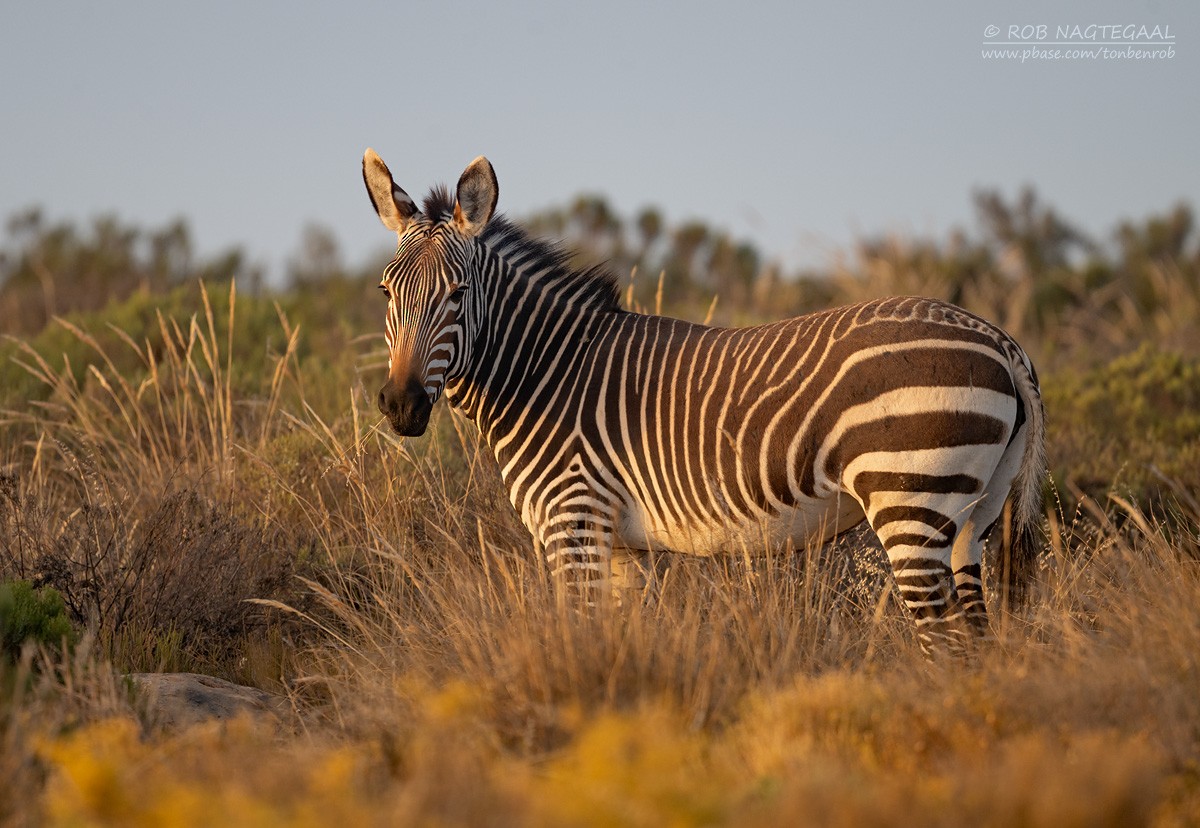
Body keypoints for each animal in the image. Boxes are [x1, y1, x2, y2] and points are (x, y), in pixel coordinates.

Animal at [362, 149, 1046, 652]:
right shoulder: (623, 547)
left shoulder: (573, 525)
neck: (547, 371)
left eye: (456, 293)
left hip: (910, 501)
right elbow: (617, 648)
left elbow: (580, 638)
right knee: (976, 642)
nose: (401, 406)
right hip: (974, 518)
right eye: (385, 291)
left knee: (947, 646)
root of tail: (1001, 338)